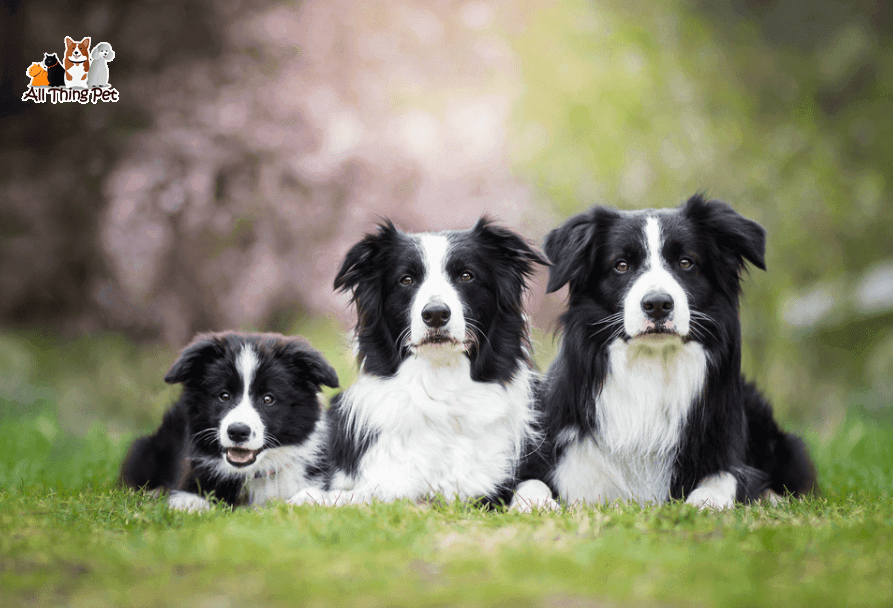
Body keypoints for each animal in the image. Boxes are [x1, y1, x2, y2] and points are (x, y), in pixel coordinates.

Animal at [120, 330, 336, 510]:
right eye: (224, 395)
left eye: (268, 399)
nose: (238, 432)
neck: (252, 473)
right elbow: (187, 497)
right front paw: (192, 504)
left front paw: (305, 500)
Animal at [286, 218, 556, 508]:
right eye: (406, 280)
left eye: (466, 276)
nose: (436, 314)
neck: (441, 384)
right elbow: (365, 493)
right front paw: (311, 497)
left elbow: (534, 483)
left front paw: (536, 504)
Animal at [536, 196, 816, 508]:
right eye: (621, 265)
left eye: (686, 262)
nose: (658, 304)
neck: (652, 367)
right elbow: (534, 484)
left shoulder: (724, 450)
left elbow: (724, 478)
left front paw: (704, 504)